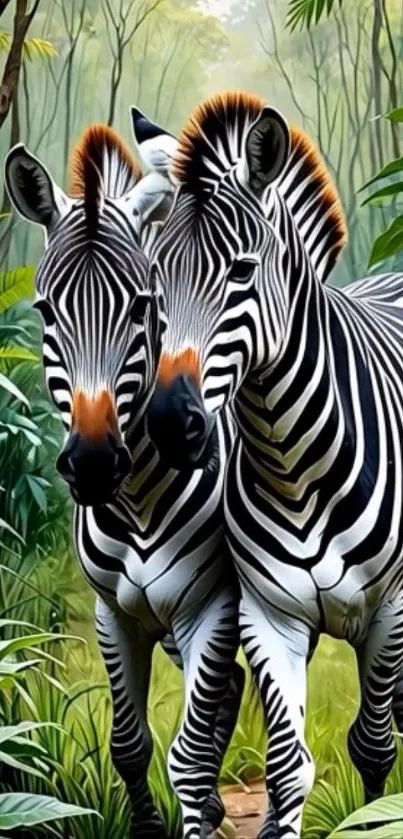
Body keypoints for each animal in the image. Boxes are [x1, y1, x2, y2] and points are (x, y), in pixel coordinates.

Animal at [4, 123, 244, 839]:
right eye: (45, 311)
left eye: (142, 307)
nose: (90, 462)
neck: (137, 501)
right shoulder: (113, 612)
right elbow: (129, 744)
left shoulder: (214, 604)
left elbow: (191, 743)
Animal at [129, 90, 403, 839]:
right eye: (155, 277)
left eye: (242, 271)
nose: (168, 423)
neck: (294, 463)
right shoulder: (268, 614)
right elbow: (288, 765)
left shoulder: (389, 608)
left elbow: (373, 743)